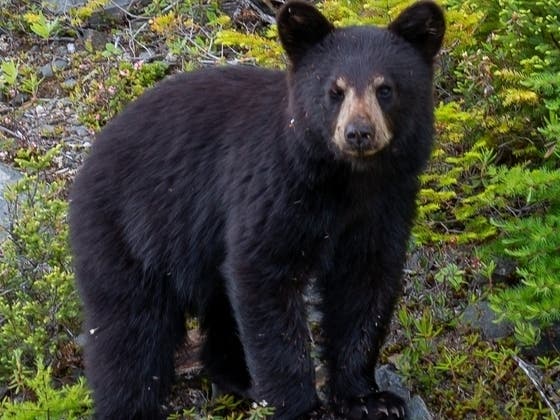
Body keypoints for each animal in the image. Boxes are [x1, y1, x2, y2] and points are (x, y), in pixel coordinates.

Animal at [70, 1, 446, 418]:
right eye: (335, 90)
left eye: (385, 89)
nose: (358, 133)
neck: (346, 181)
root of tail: (90, 158)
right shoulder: (273, 190)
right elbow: (264, 277)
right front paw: (300, 406)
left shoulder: (385, 204)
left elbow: (364, 287)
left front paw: (368, 398)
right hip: (128, 232)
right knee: (130, 331)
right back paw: (133, 404)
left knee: (217, 309)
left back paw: (238, 379)